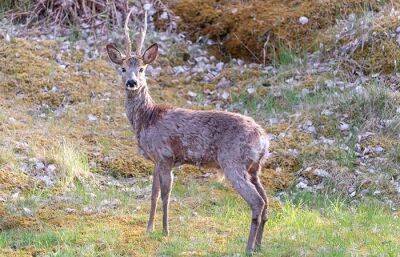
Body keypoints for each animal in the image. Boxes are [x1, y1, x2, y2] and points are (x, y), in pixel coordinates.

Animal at [105, 7, 268, 252]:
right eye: (123, 68)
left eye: (142, 69)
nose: (132, 82)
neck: (147, 118)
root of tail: (264, 140)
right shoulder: (156, 160)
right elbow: (153, 194)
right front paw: (149, 228)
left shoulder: (165, 155)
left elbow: (166, 194)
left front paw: (165, 231)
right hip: (254, 167)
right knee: (266, 200)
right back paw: (258, 245)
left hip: (233, 162)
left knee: (257, 201)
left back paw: (248, 248)